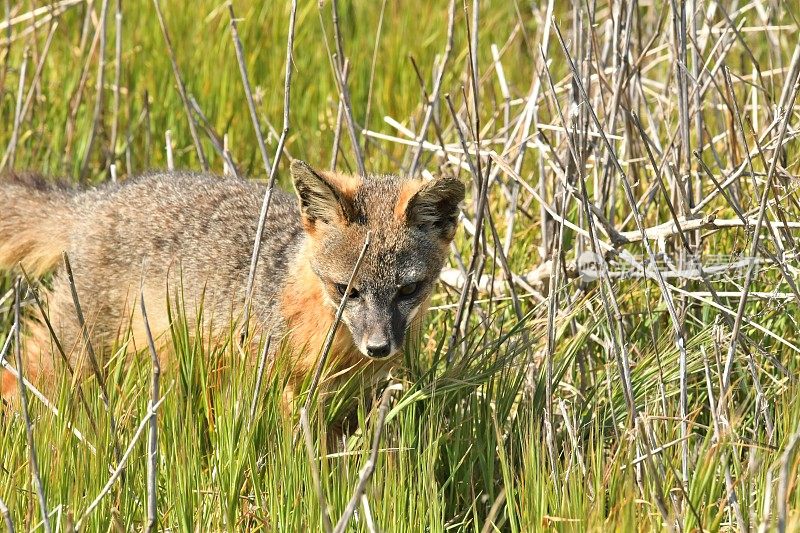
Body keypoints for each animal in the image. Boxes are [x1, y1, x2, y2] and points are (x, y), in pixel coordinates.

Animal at [0, 162, 466, 404]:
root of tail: (93, 198)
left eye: (408, 290)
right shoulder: (279, 387)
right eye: (344, 290)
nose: (379, 347)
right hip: (75, 350)